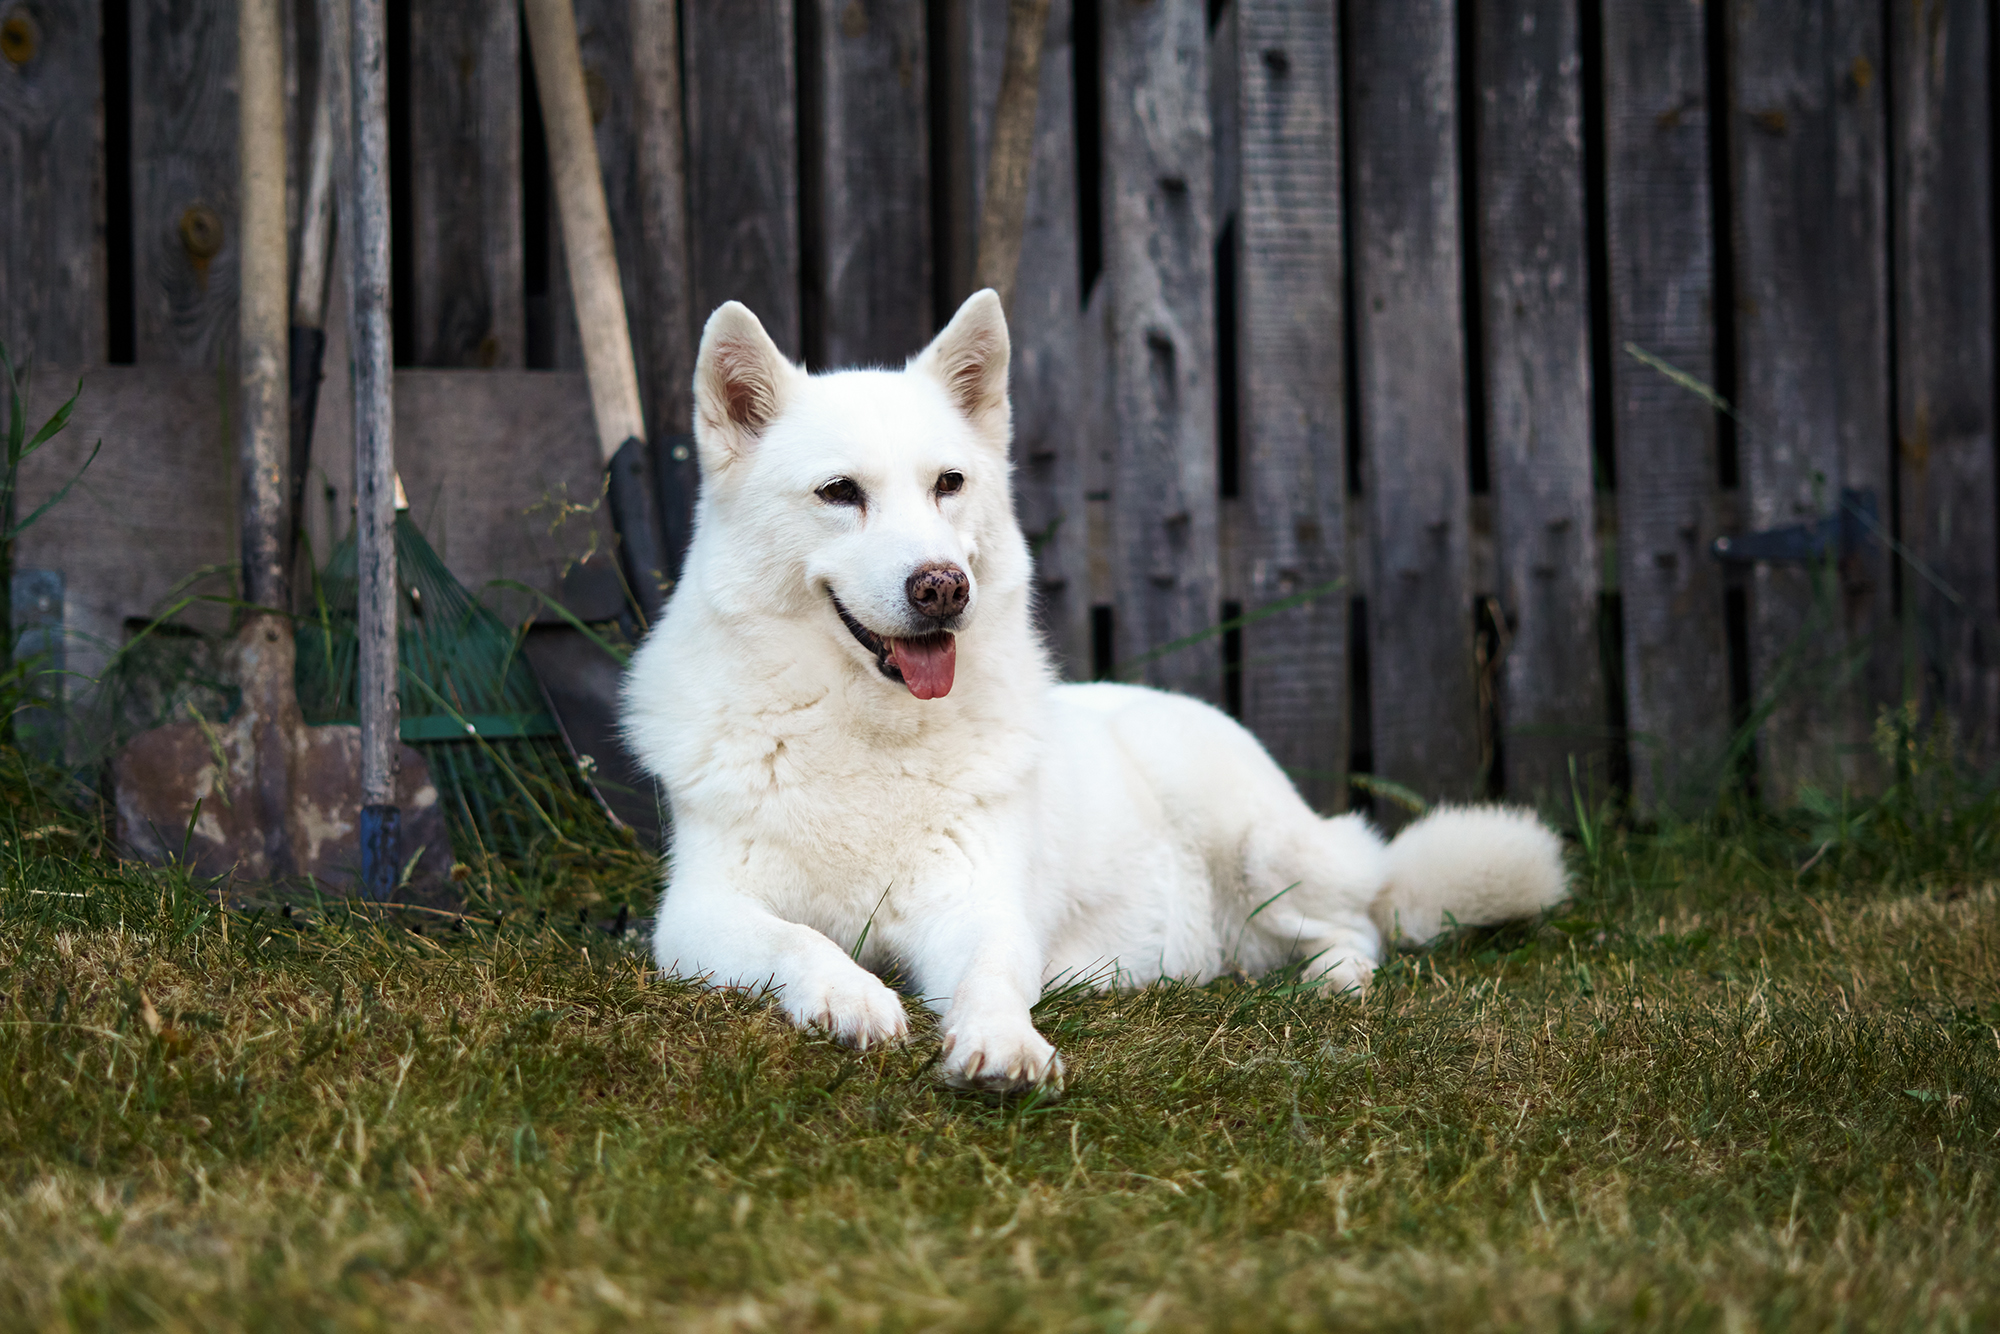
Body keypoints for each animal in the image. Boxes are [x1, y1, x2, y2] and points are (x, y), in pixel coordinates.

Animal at [616, 292, 1568, 1096]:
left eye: (948, 484)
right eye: (839, 493)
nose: (944, 588)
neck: (867, 734)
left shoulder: (980, 909)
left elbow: (994, 978)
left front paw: (1002, 1043)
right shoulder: (697, 918)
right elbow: (800, 939)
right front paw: (849, 997)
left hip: (1260, 845)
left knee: (1360, 926)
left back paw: (1331, 981)